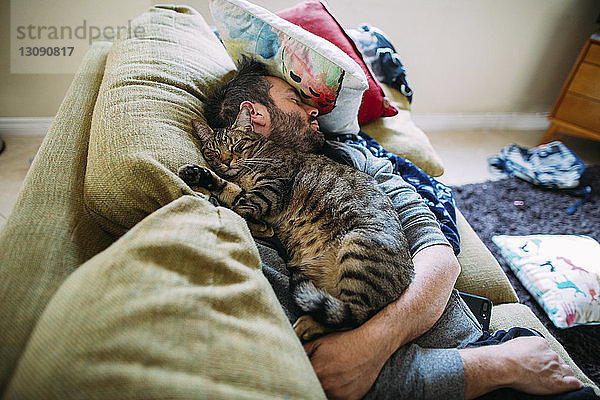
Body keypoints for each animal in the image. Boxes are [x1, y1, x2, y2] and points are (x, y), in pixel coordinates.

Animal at [178, 106, 412, 340]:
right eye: (213, 152)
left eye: (236, 146)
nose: (226, 161)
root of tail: (406, 278)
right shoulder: (245, 188)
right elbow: (230, 190)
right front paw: (196, 173)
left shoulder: (273, 186)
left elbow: (241, 206)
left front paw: (259, 225)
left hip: (357, 249)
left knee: (354, 317)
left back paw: (306, 326)